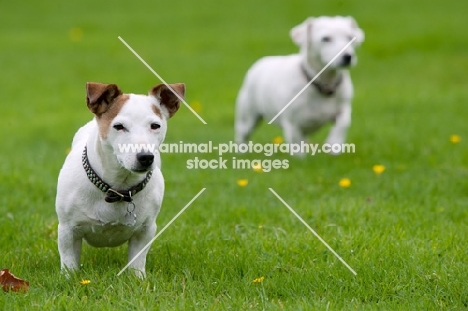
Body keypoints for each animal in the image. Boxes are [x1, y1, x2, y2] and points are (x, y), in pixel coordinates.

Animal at [56, 81, 185, 278]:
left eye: (155, 125)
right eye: (119, 126)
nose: (146, 157)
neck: (118, 188)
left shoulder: (145, 231)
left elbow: (137, 262)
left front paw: (138, 279)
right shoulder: (67, 230)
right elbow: (69, 262)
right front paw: (69, 279)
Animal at [236, 15, 364, 155]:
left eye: (350, 37)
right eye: (325, 38)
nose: (348, 57)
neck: (323, 85)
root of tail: (261, 63)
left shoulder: (343, 108)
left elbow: (344, 123)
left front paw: (334, 144)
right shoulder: (292, 124)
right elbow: (297, 147)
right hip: (248, 116)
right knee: (242, 133)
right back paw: (241, 151)